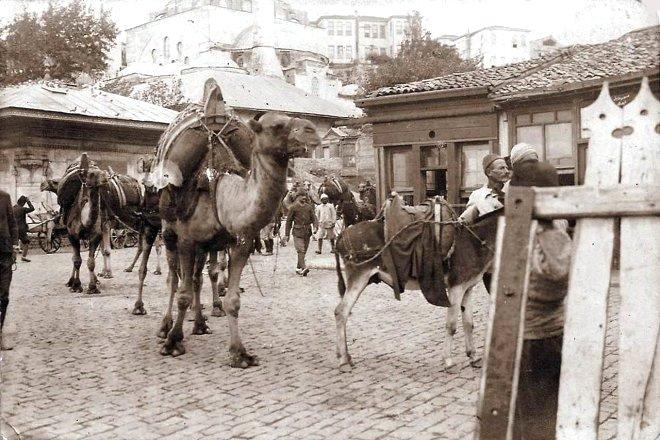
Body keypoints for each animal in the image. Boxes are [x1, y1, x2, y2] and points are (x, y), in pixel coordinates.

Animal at [153, 81, 322, 362]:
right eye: (276, 125)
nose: (312, 131)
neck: (220, 193)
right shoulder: (187, 240)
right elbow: (182, 294)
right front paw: (173, 342)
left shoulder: (239, 243)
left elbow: (233, 300)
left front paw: (240, 353)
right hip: (169, 232)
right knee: (174, 279)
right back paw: (165, 326)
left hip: (205, 246)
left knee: (198, 278)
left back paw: (200, 323)